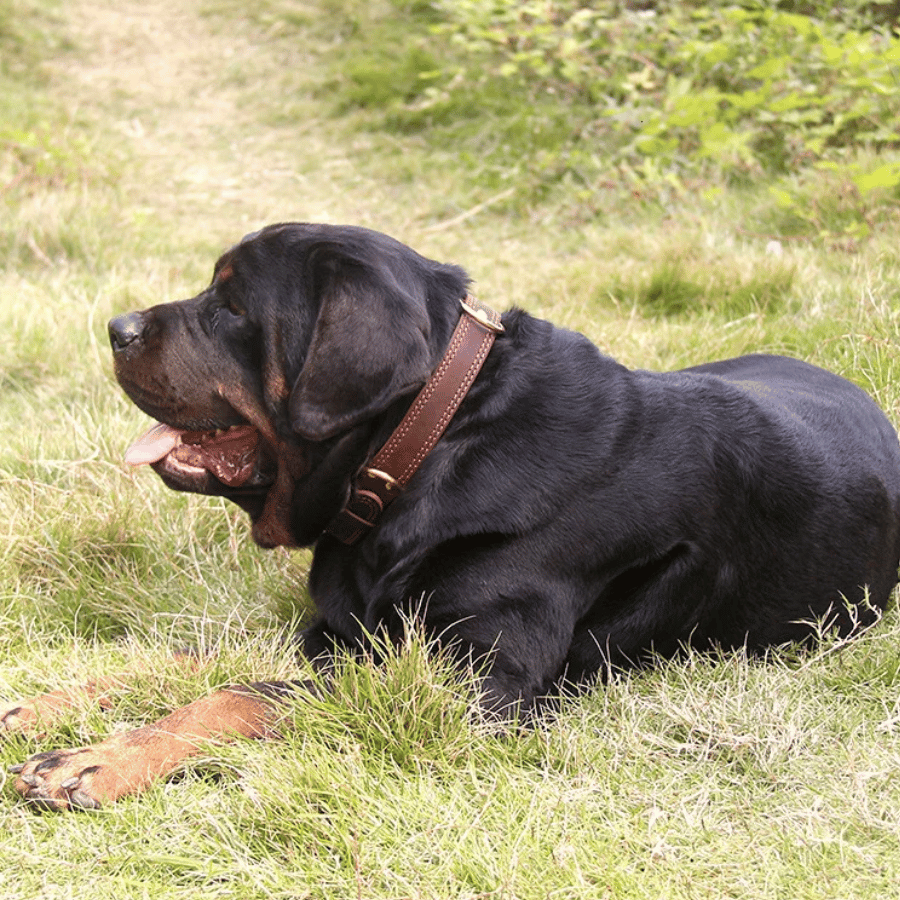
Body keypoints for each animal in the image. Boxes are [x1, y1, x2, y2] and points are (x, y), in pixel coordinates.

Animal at [8, 223, 900, 808]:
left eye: (230, 307)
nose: (116, 327)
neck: (428, 446)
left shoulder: (468, 683)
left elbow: (244, 692)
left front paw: (99, 760)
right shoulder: (342, 632)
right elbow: (195, 656)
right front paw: (52, 703)